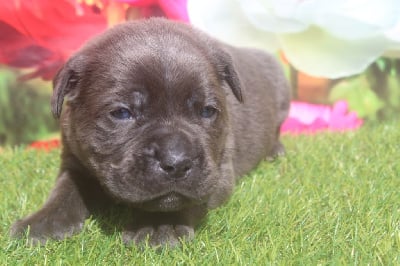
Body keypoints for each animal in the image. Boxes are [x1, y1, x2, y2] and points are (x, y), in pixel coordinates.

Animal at [10, 17, 290, 246]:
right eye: (122, 113)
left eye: (208, 111)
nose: (176, 162)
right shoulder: (74, 158)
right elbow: (66, 189)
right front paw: (42, 222)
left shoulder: (219, 170)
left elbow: (179, 200)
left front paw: (158, 227)